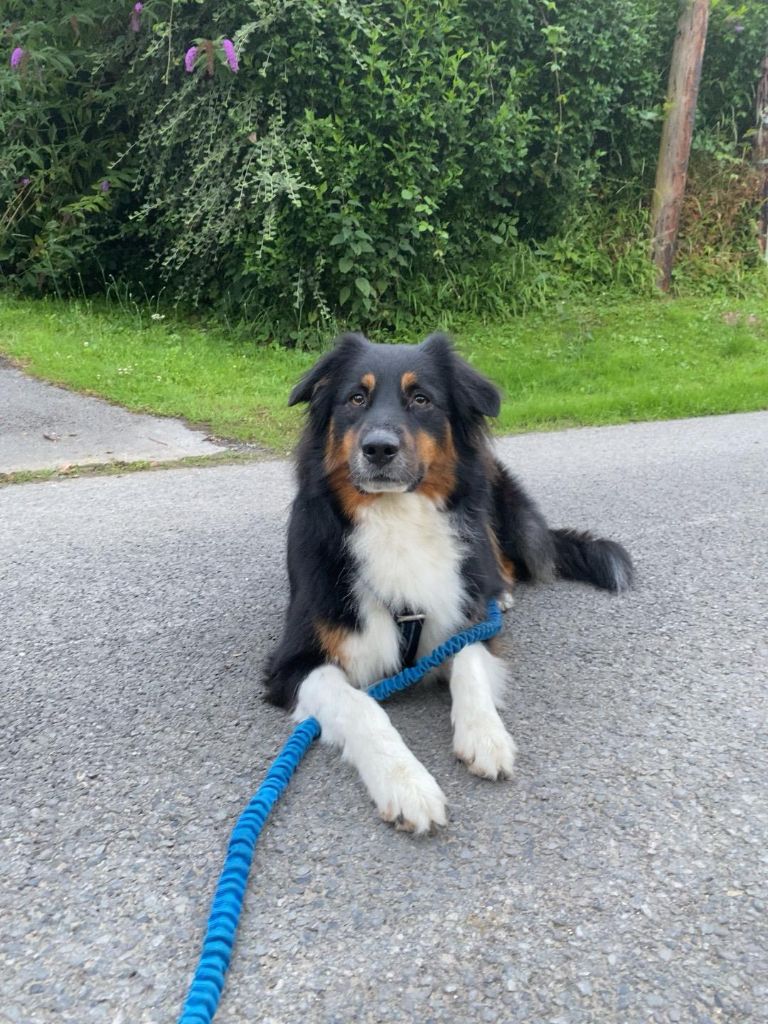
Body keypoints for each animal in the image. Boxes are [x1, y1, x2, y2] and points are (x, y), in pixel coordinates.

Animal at [268, 333, 634, 831]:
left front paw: (485, 734)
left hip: (493, 501)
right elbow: (361, 706)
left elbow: (469, 662)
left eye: (421, 399)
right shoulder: (294, 663)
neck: (394, 517)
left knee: (503, 560)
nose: (378, 449)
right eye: (356, 398)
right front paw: (406, 783)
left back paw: (503, 593)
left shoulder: (464, 617)